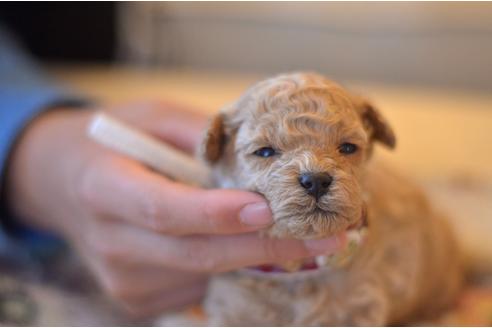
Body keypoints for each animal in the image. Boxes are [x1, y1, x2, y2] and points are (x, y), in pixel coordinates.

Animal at [198, 72, 464, 326]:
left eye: (347, 147)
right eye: (264, 152)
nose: (316, 180)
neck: (301, 271)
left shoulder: (360, 307)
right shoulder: (234, 305)